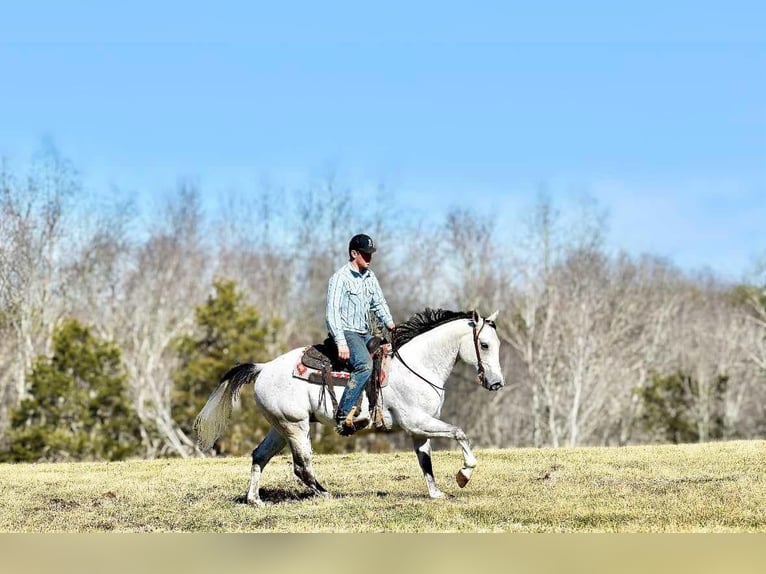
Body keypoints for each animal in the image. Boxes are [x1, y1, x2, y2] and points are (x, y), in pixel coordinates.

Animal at [194, 308, 504, 506]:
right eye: (484, 345)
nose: (496, 383)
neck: (416, 366)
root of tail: (263, 367)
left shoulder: (420, 428)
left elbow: (425, 461)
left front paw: (436, 493)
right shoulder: (417, 421)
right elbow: (459, 432)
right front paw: (464, 475)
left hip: (280, 428)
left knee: (259, 455)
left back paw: (255, 500)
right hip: (296, 427)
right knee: (302, 466)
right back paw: (325, 494)